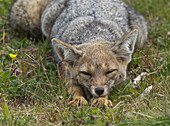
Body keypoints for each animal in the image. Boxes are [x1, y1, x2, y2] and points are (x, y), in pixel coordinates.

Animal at [9, 0, 147, 107]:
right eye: (86, 73)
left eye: (110, 71)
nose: (99, 90)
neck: (94, 34)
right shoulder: (67, 74)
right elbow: (76, 89)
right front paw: (78, 99)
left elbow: (108, 89)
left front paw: (102, 100)